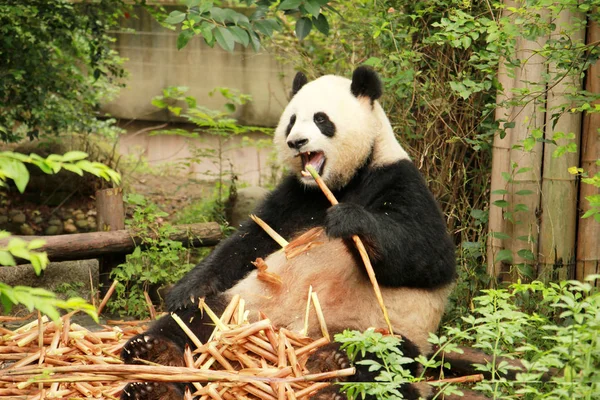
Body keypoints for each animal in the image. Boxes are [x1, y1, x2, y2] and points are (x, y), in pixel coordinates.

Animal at [119, 68, 454, 400]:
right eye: (292, 120)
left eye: (321, 119)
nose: (296, 142)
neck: (339, 183)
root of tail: (289, 337)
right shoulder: (293, 198)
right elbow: (248, 242)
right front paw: (185, 290)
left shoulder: (398, 179)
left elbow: (428, 256)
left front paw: (348, 220)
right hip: (243, 308)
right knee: (194, 320)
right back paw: (154, 363)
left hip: (380, 328)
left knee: (382, 357)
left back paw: (331, 371)